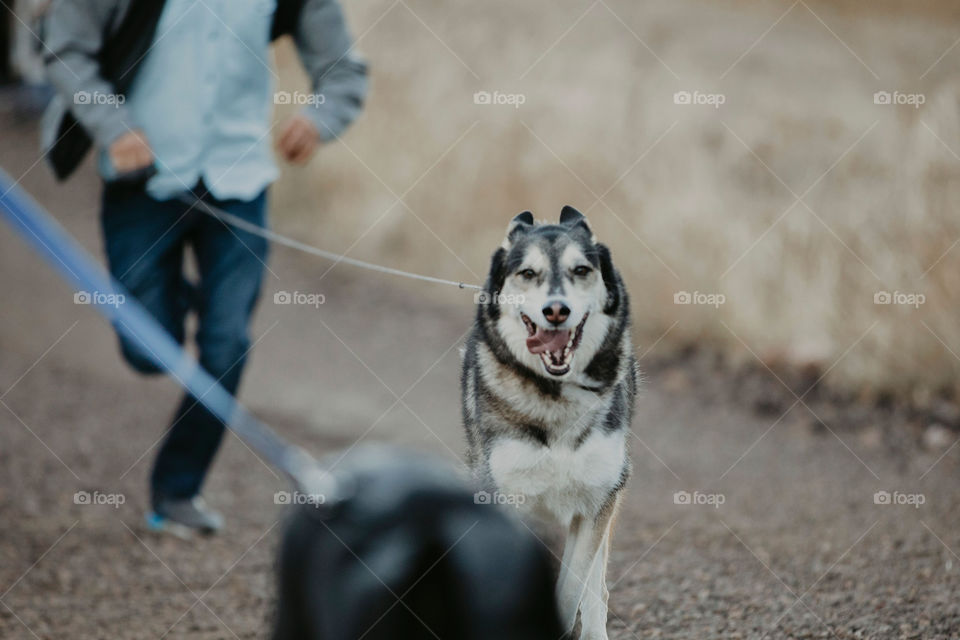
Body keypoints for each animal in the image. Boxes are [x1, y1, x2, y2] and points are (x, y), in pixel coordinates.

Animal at [462, 208, 632, 636]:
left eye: (581, 269)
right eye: (528, 273)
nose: (557, 310)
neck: (555, 398)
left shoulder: (596, 502)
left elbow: (571, 590)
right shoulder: (504, 497)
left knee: (596, 589)